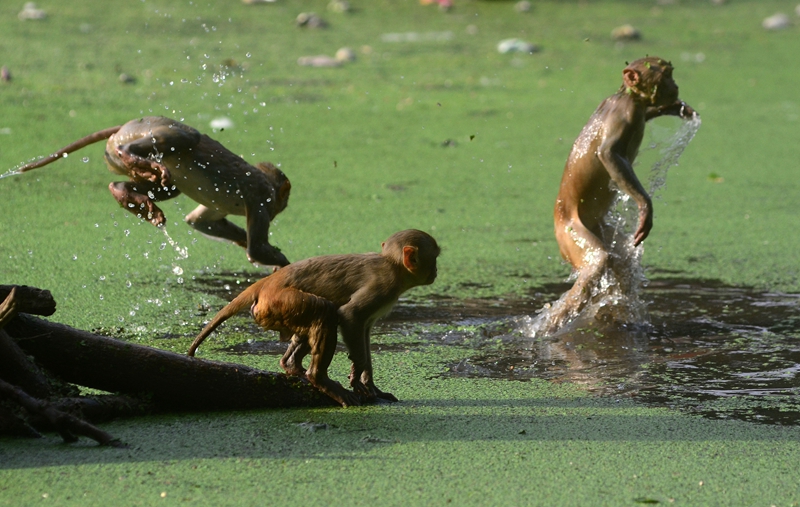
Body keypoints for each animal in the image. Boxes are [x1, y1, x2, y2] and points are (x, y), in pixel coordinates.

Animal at [15, 115, 292, 266]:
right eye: (284, 202)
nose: (281, 210)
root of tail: (123, 127)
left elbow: (199, 221)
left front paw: (243, 241)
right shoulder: (262, 200)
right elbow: (256, 248)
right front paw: (281, 262)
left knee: (168, 186)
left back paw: (125, 192)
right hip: (147, 130)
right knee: (190, 137)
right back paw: (131, 157)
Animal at [185, 231, 440, 408]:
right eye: (435, 258)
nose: (437, 271)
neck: (393, 267)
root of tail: (265, 283)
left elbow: (365, 331)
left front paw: (371, 385)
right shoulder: (383, 285)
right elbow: (350, 316)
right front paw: (357, 374)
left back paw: (292, 366)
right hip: (277, 302)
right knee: (325, 311)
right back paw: (318, 378)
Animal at [552, 57, 692, 332]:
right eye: (666, 74)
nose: (675, 85)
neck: (628, 97)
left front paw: (671, 107)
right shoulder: (624, 113)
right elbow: (608, 153)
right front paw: (645, 206)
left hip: (597, 226)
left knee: (619, 260)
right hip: (568, 232)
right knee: (598, 261)